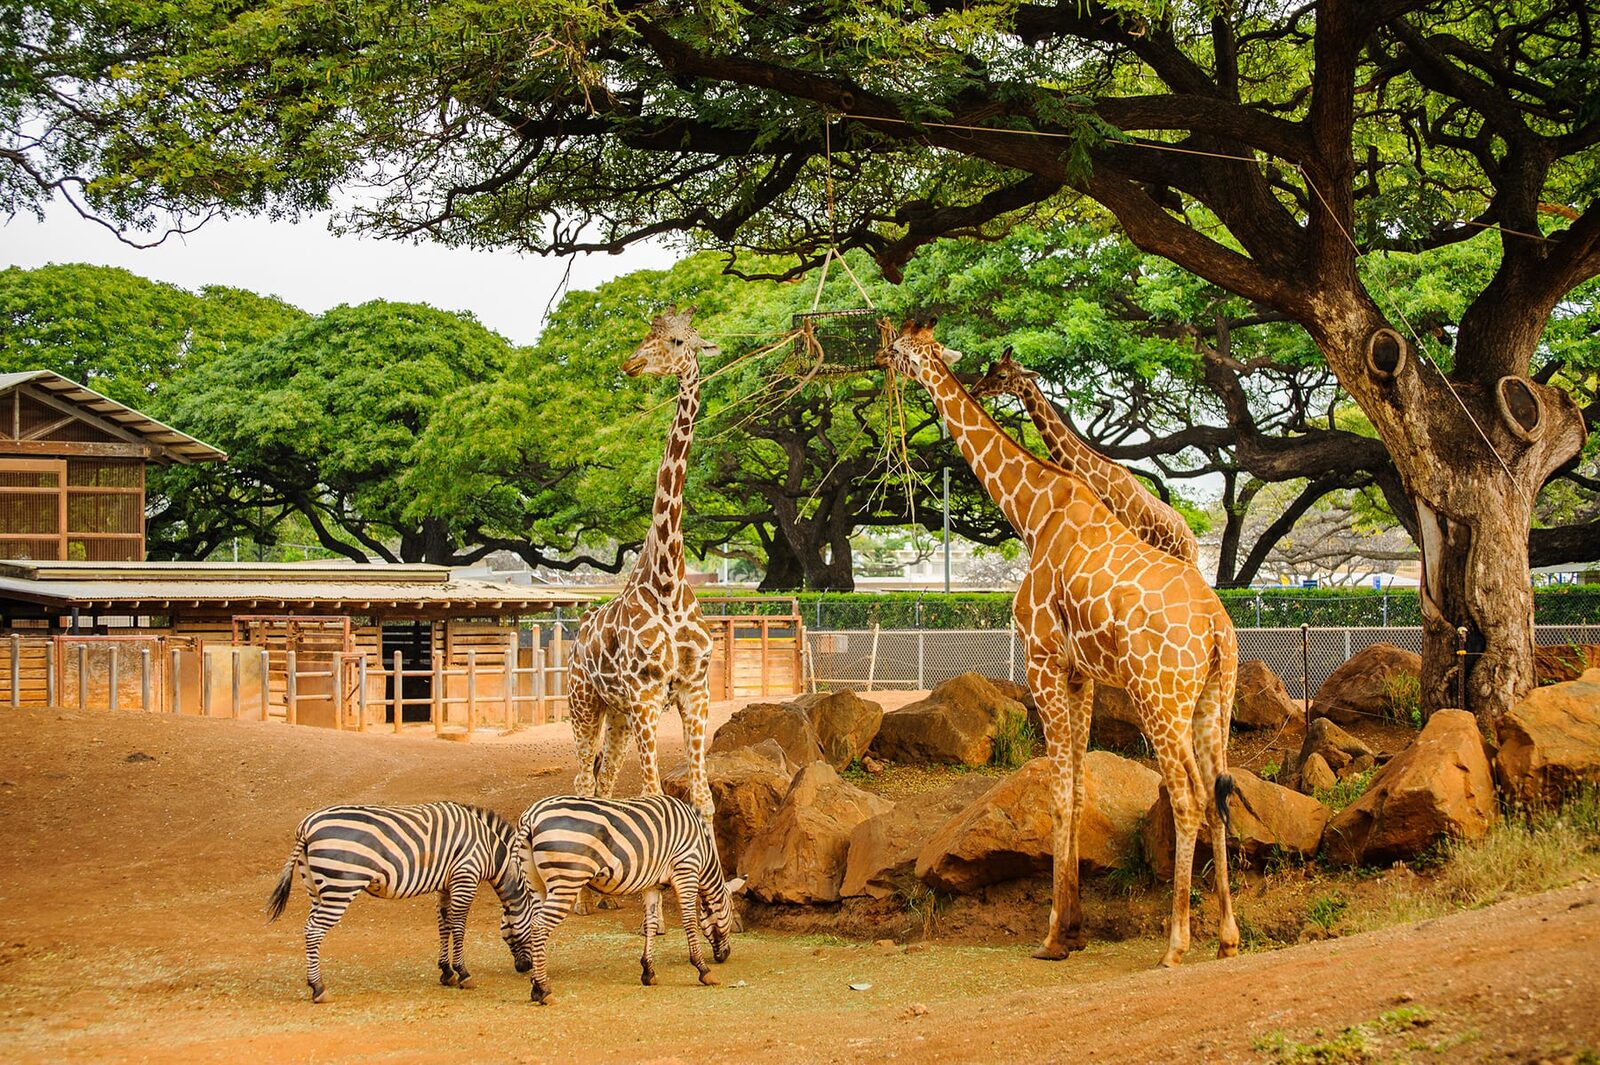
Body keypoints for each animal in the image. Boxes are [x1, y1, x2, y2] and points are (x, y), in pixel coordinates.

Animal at [266, 801, 535, 1003]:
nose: (525, 967)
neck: (490, 849)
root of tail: (307, 825)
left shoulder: (445, 884)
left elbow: (444, 925)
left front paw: (446, 971)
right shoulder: (465, 876)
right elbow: (458, 927)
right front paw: (463, 973)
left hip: (316, 887)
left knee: (308, 927)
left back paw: (313, 983)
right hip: (339, 887)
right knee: (314, 931)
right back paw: (318, 987)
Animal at [516, 793, 744, 1004]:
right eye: (732, 914)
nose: (725, 955)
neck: (703, 852)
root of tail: (531, 815)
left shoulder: (652, 884)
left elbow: (651, 924)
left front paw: (648, 972)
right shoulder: (686, 869)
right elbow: (689, 922)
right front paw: (703, 970)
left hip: (536, 884)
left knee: (533, 923)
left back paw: (536, 986)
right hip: (567, 880)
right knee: (539, 926)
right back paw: (544, 990)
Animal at [567, 307, 718, 826]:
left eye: (678, 341)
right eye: (647, 334)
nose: (631, 362)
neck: (669, 579)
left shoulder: (694, 692)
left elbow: (702, 799)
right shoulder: (645, 697)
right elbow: (654, 796)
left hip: (616, 714)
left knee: (605, 783)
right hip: (584, 703)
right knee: (584, 782)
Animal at [970, 348, 1199, 565]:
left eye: (1002, 375)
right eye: (990, 367)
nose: (975, 390)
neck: (1100, 481)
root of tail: (1192, 539)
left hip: (1184, 557)